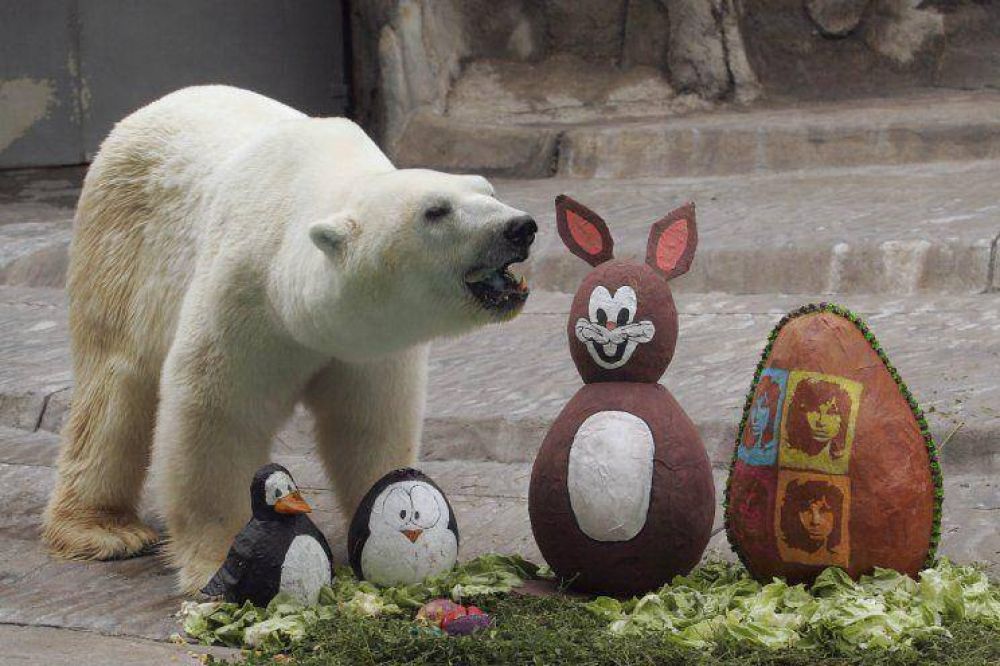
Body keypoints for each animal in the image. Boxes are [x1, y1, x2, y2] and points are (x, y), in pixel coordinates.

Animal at [41, 85, 537, 593]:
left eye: (489, 192)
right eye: (436, 210)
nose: (520, 227)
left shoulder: (368, 343)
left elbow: (370, 422)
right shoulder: (246, 293)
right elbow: (217, 417)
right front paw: (217, 561)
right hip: (123, 247)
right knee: (115, 384)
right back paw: (104, 531)